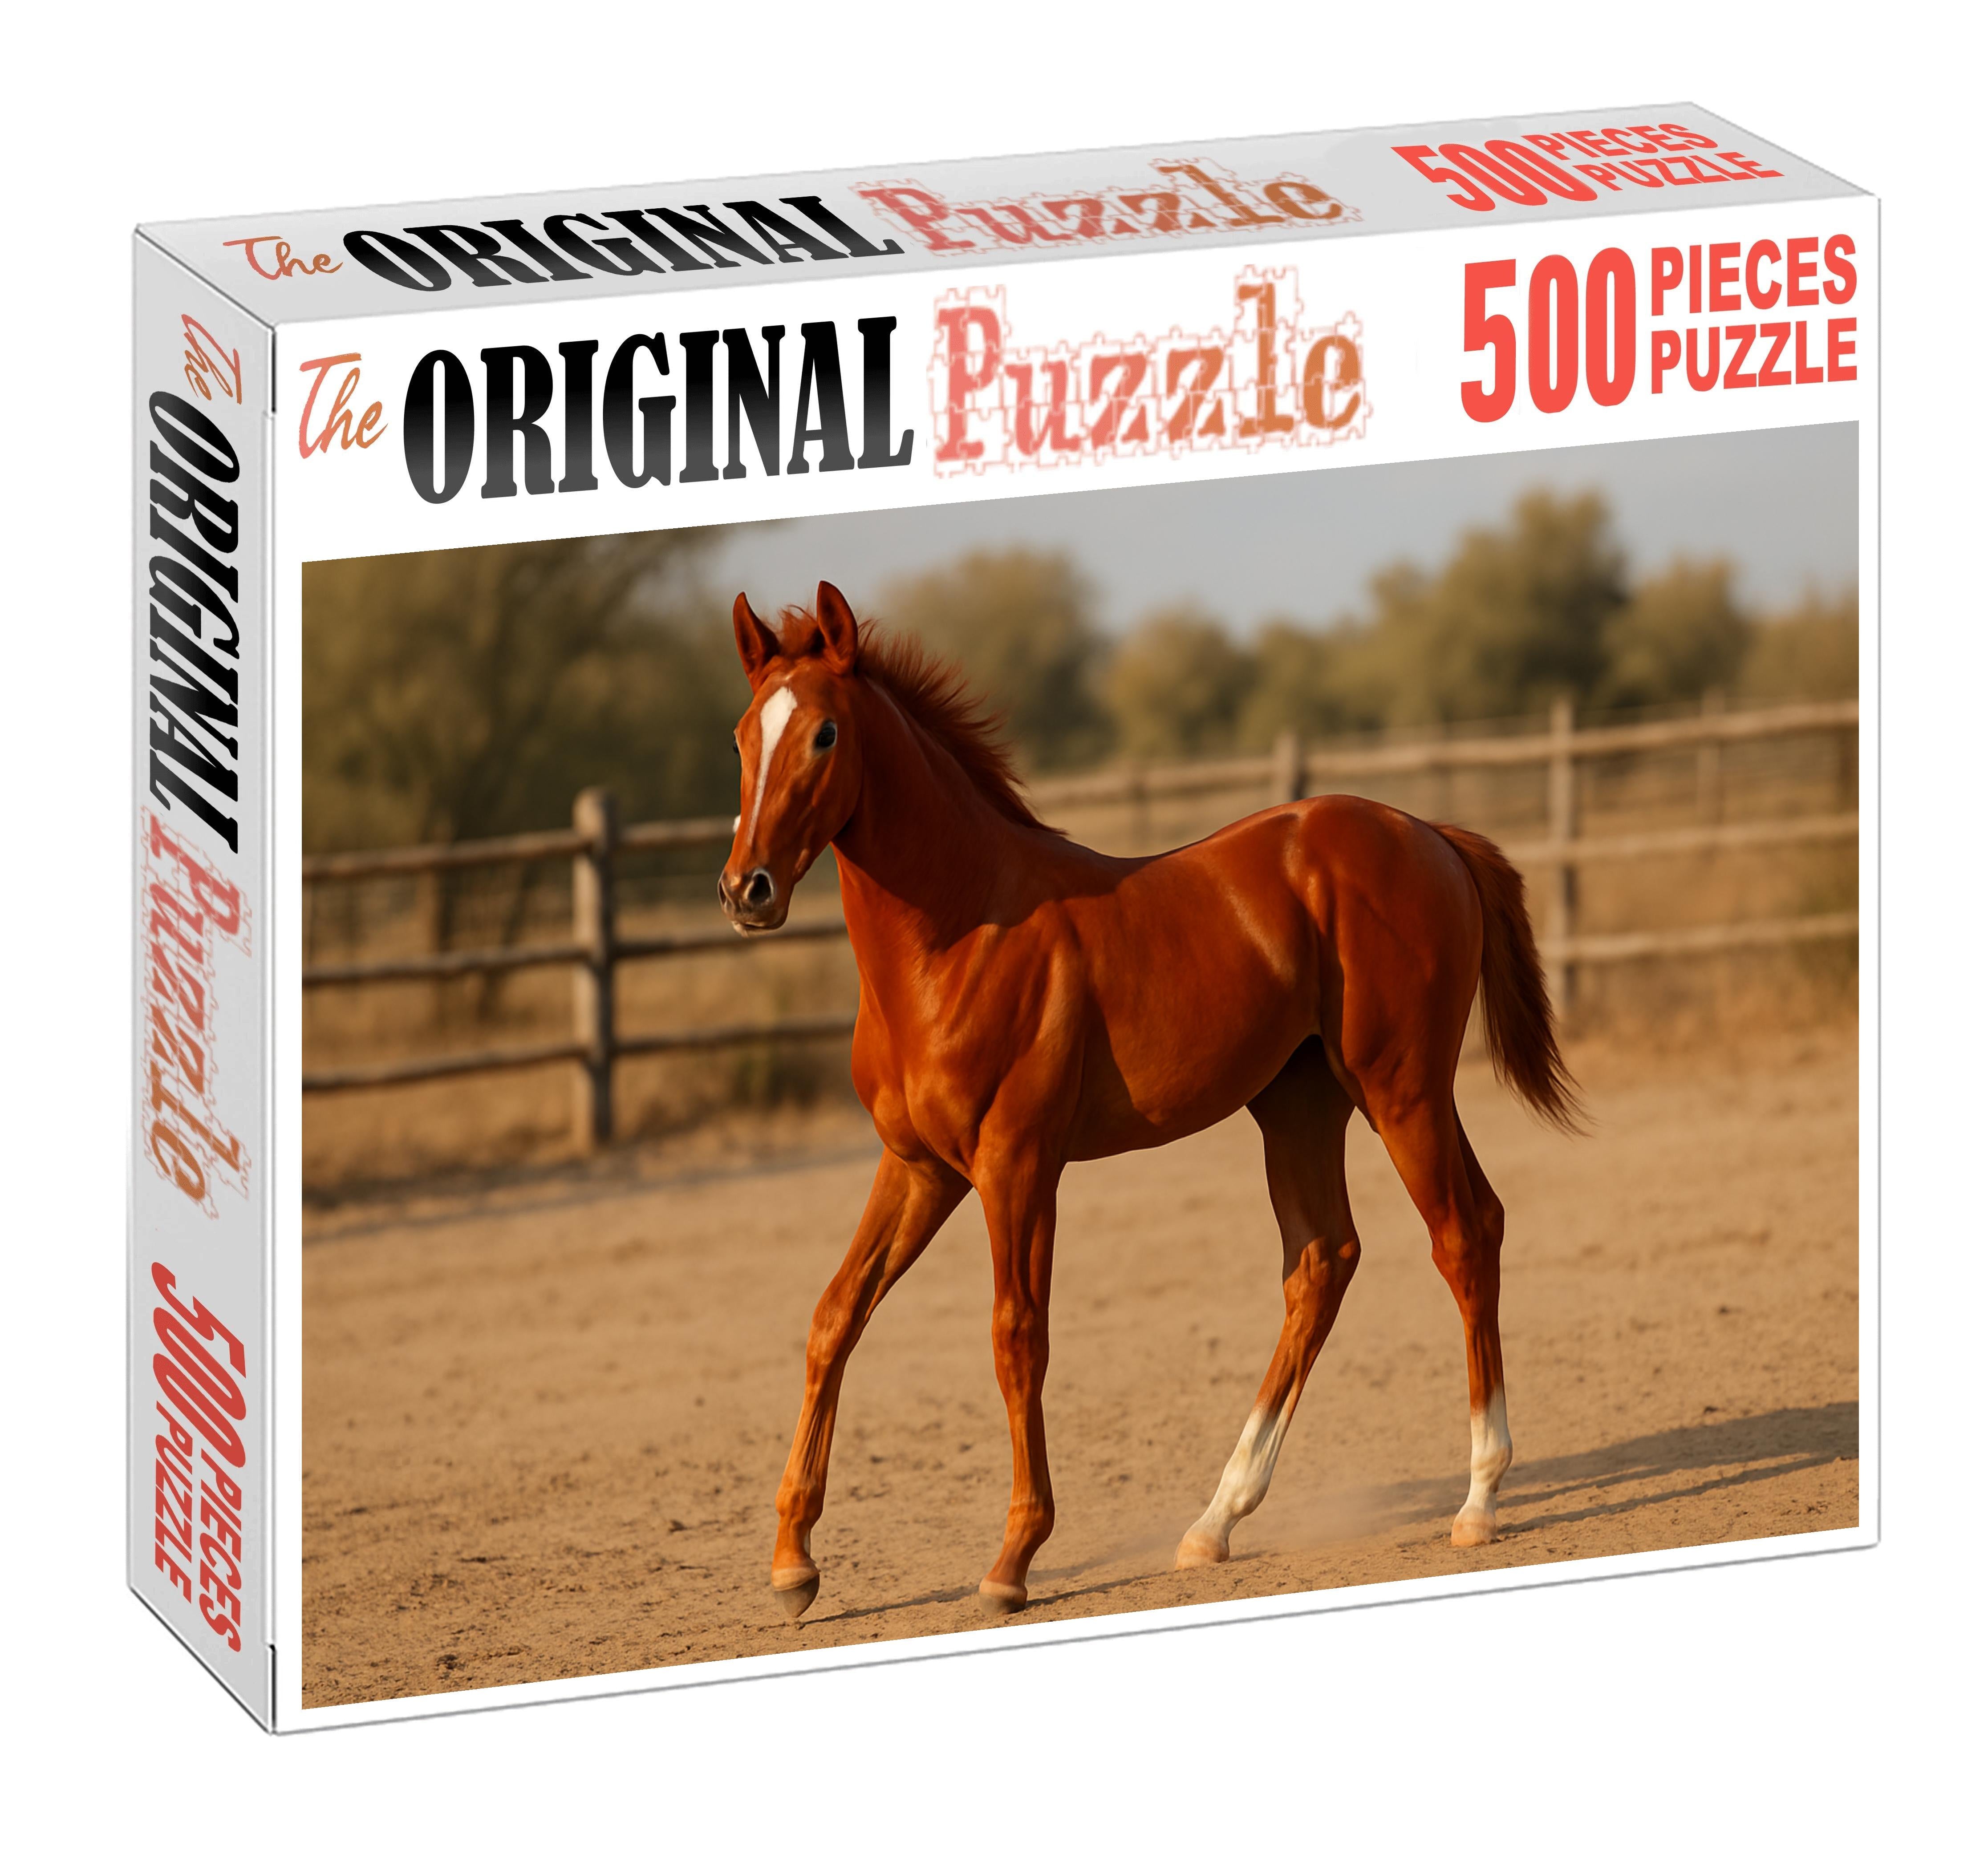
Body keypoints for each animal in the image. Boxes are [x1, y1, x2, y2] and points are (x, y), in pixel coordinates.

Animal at [719, 582, 1581, 1621]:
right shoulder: (919, 1167)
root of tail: (1430, 835)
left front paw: (1012, 1559)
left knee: (1461, 1234)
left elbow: (1017, 1336)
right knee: (1324, 1261)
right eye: (740, 737)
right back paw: (1216, 1520)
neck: (961, 933)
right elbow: (835, 1315)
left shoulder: (1017, 1165)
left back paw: (1479, 1498)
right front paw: (792, 1564)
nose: (746, 889)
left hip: (1401, 1089)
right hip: (1301, 1108)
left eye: (826, 734)